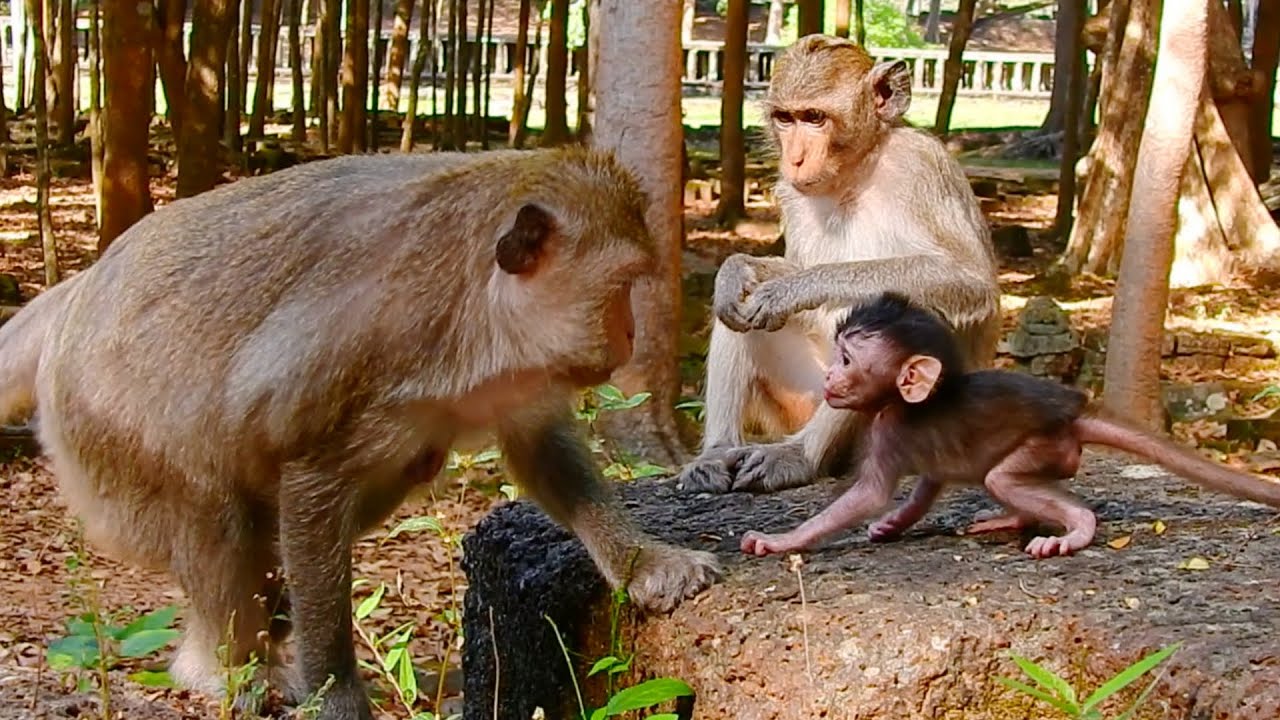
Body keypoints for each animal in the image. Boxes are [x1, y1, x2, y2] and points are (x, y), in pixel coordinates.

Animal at [0, 147, 721, 720]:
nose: (630, 334)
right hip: (102, 426)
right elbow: (308, 479)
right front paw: (336, 695)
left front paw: (644, 561)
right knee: (212, 512)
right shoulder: (363, 349)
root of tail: (76, 291)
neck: (473, 309)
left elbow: (543, 449)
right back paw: (223, 670)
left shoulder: (518, 370)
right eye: (622, 286)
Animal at [674, 34, 1002, 500]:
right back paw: (717, 453)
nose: (794, 158)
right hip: (804, 397)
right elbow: (770, 277)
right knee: (739, 314)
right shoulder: (789, 192)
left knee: (918, 311)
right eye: (786, 118)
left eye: (815, 118)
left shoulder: (923, 165)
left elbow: (970, 283)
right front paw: (738, 270)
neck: (856, 172)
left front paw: (794, 288)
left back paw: (801, 456)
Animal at [739, 292, 1280, 559]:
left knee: (1003, 477)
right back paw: (1013, 519)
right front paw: (896, 522)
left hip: (1046, 445)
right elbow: (928, 483)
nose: (829, 377)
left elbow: (868, 494)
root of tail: (1075, 412)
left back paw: (1075, 527)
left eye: (847, 359)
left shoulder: (889, 428)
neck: (907, 398)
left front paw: (783, 541)